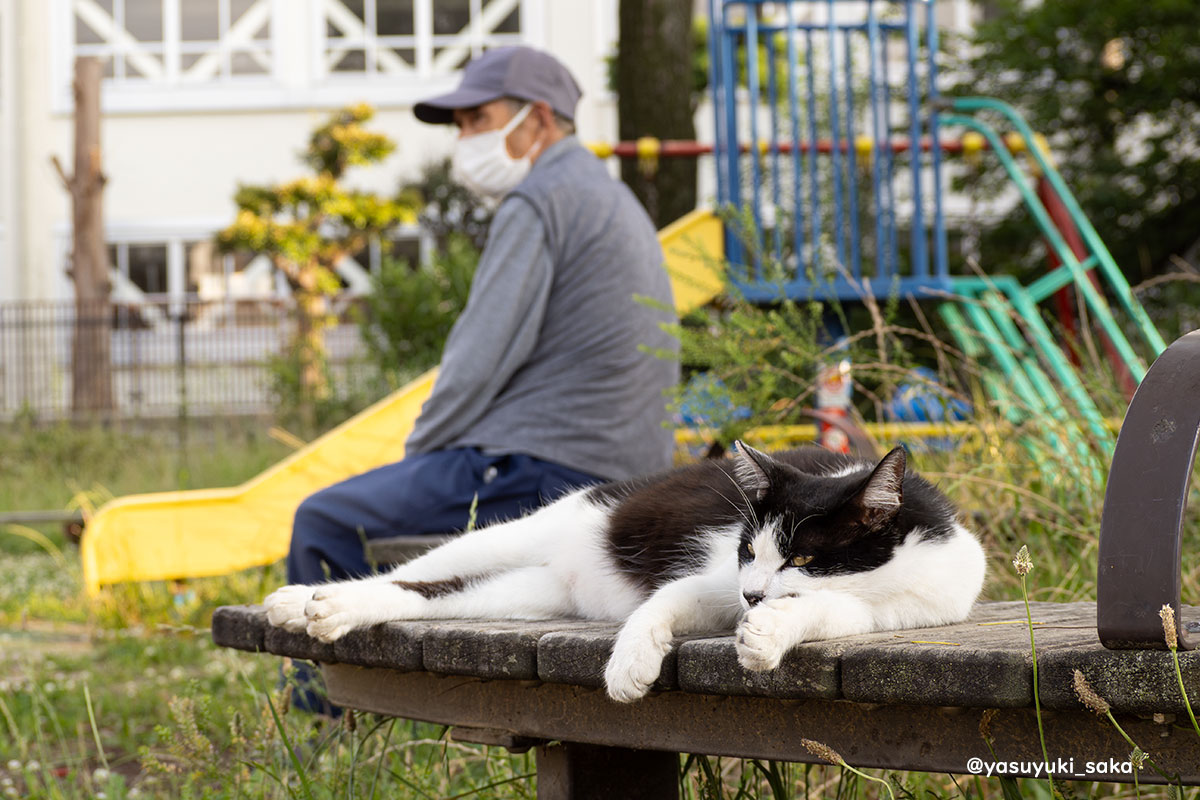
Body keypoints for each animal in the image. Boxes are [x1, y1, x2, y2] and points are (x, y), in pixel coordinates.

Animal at [267, 443, 988, 700]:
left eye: (805, 558)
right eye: (747, 552)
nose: (754, 594)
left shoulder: (906, 608)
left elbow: (831, 610)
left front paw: (768, 636)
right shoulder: (712, 577)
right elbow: (663, 598)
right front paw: (629, 666)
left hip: (530, 592)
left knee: (429, 593)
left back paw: (327, 609)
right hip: (525, 532)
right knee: (424, 566)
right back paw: (307, 600)